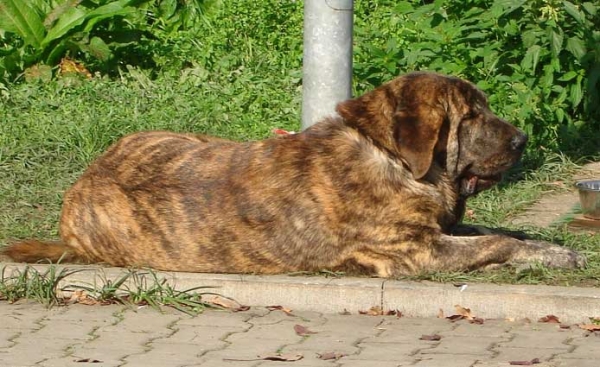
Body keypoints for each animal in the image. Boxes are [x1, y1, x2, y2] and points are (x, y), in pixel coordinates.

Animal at [2, 72, 584, 278]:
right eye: (473, 115)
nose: (522, 140)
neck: (391, 157)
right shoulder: (414, 252)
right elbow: (493, 243)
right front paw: (548, 254)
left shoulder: (439, 230)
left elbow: (501, 232)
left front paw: (548, 246)